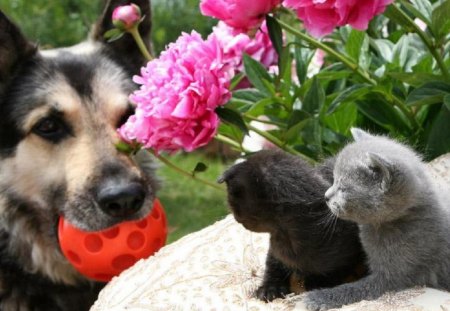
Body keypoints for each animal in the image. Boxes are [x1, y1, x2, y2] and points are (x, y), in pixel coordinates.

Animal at [220, 151, 368, 302]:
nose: (236, 218)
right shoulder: (275, 249)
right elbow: (272, 265)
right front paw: (270, 287)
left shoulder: (348, 254)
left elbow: (333, 272)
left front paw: (315, 282)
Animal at [304, 129, 450, 311]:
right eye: (334, 180)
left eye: (343, 188)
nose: (326, 196)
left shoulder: (392, 277)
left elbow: (356, 289)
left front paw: (319, 297)